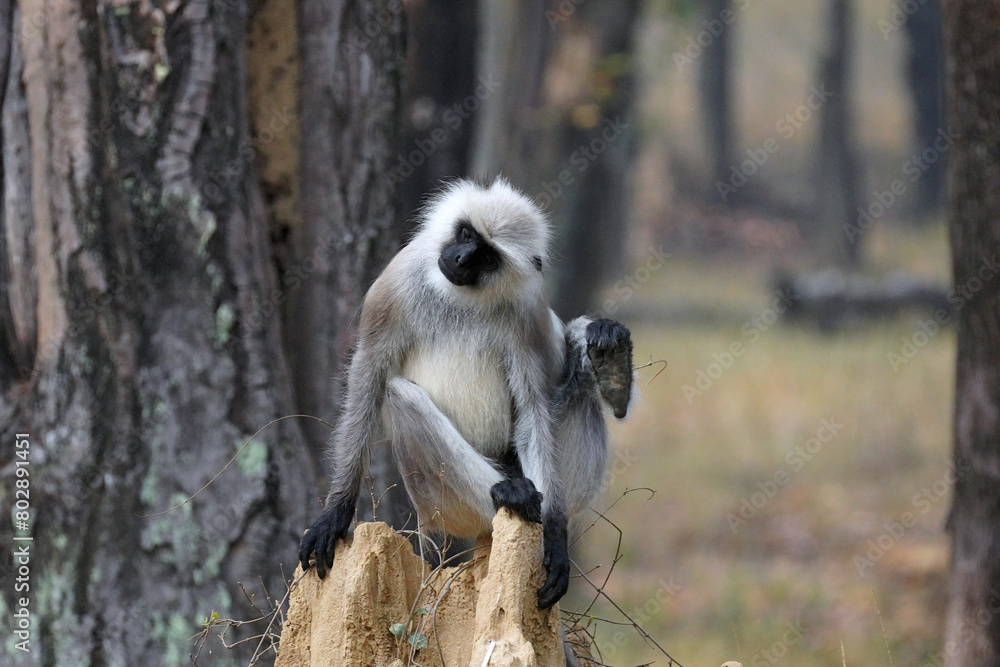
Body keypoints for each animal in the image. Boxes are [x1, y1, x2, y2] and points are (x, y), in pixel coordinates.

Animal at [300, 177, 636, 612]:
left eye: (487, 257)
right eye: (466, 235)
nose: (459, 258)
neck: (463, 297)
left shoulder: (528, 309)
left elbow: (533, 407)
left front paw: (556, 535)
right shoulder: (395, 284)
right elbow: (367, 377)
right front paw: (336, 511)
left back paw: (611, 365)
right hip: (440, 504)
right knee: (402, 395)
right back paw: (509, 491)